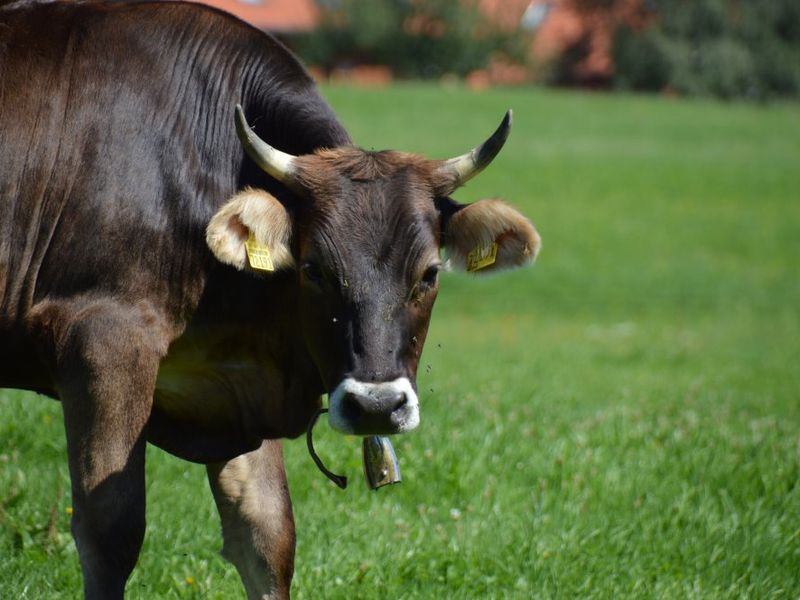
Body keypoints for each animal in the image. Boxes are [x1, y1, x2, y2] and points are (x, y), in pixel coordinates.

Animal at [0, 2, 540, 596]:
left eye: (428, 273)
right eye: (313, 269)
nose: (377, 406)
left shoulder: (239, 384)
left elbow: (267, 533)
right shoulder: (102, 343)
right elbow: (109, 532)